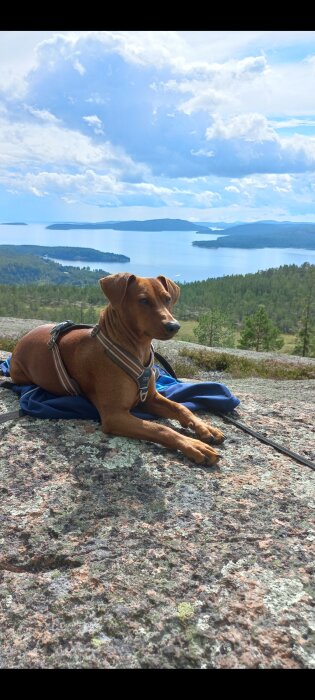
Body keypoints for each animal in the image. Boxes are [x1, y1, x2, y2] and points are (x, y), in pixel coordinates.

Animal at [9, 274, 225, 464]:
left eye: (167, 299)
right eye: (143, 300)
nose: (174, 326)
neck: (134, 351)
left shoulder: (150, 398)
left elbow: (181, 408)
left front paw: (205, 428)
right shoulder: (115, 416)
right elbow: (160, 429)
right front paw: (194, 446)